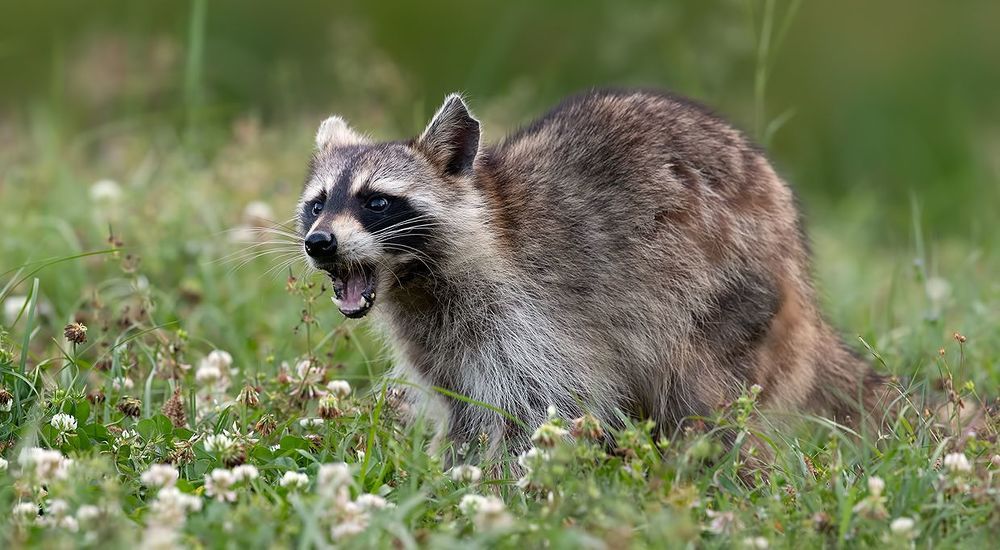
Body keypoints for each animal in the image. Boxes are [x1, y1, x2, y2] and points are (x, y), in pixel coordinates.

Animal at [296, 89, 887, 457]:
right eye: (318, 204)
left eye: (377, 202)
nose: (318, 243)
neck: (416, 281)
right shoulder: (437, 340)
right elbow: (461, 409)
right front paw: (454, 472)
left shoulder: (526, 316)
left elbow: (538, 408)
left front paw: (501, 485)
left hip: (726, 291)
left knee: (705, 396)